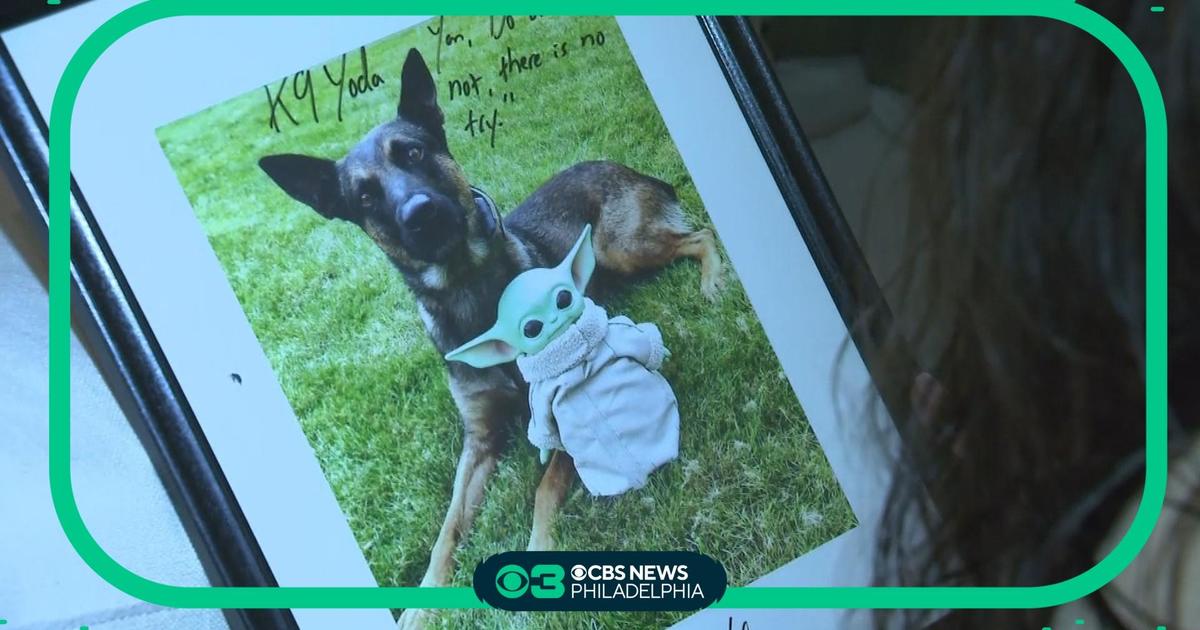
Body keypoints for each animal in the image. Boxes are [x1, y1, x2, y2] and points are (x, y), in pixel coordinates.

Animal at [258, 48, 715, 624]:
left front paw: (538, 558)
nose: (421, 214)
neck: (473, 295)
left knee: (700, 236)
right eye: (364, 196)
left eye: (414, 152)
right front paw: (422, 605)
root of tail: (622, 167)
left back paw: (713, 282)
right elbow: (448, 530)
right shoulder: (478, 440)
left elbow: (544, 487)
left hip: (623, 248)